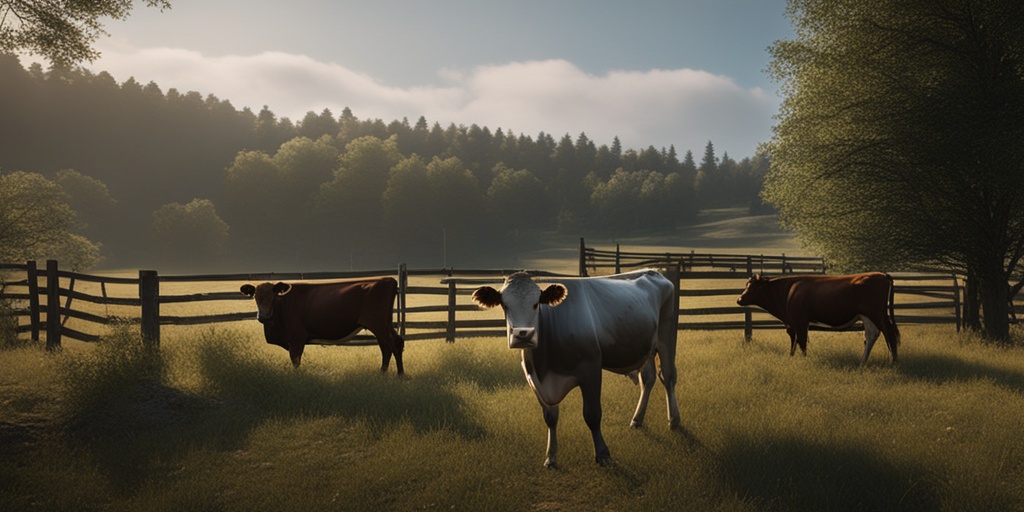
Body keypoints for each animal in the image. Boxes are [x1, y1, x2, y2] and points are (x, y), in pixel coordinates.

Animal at [239, 276, 403, 372]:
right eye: (255, 296)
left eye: (273, 296)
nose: (263, 316)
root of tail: (387, 279)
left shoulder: (297, 340)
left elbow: (296, 362)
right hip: (383, 325)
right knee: (391, 346)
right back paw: (383, 375)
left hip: (378, 324)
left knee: (393, 347)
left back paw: (400, 376)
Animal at [737, 272, 897, 364]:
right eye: (746, 285)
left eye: (752, 287)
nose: (739, 299)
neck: (789, 291)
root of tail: (882, 275)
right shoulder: (792, 323)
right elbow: (794, 340)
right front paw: (791, 357)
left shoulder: (800, 321)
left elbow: (801, 341)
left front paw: (804, 360)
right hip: (870, 316)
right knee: (872, 335)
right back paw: (864, 362)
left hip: (876, 314)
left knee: (888, 333)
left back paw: (892, 361)